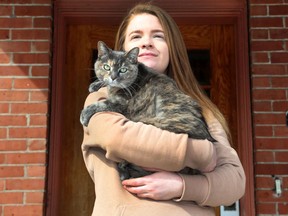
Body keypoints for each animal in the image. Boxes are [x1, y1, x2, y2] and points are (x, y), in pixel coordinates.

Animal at [80, 41, 215, 181]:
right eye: (107, 67)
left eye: (123, 70)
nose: (113, 77)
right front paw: (95, 84)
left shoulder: (123, 104)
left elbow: (103, 103)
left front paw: (84, 114)